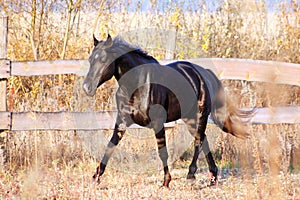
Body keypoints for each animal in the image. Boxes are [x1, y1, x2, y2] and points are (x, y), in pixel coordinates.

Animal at [82, 34, 253, 188]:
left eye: (103, 60)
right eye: (90, 60)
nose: (86, 87)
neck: (138, 85)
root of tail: (203, 72)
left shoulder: (158, 123)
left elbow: (162, 152)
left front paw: (166, 182)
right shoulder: (122, 122)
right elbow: (110, 147)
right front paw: (95, 178)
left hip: (200, 116)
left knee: (198, 141)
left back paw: (191, 176)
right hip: (190, 119)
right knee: (203, 139)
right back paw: (213, 177)